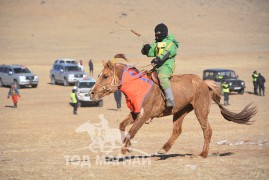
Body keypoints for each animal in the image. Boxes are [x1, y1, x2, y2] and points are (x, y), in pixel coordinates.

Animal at [89, 57, 256, 158]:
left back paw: (202, 154)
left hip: (200, 110)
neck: (138, 86)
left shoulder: (144, 115)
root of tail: (204, 83)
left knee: (206, 130)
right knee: (177, 130)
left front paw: (122, 152)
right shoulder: (135, 113)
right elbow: (122, 126)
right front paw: (128, 147)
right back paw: (163, 149)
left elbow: (132, 131)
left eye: (105, 76)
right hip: (180, 111)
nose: (92, 93)